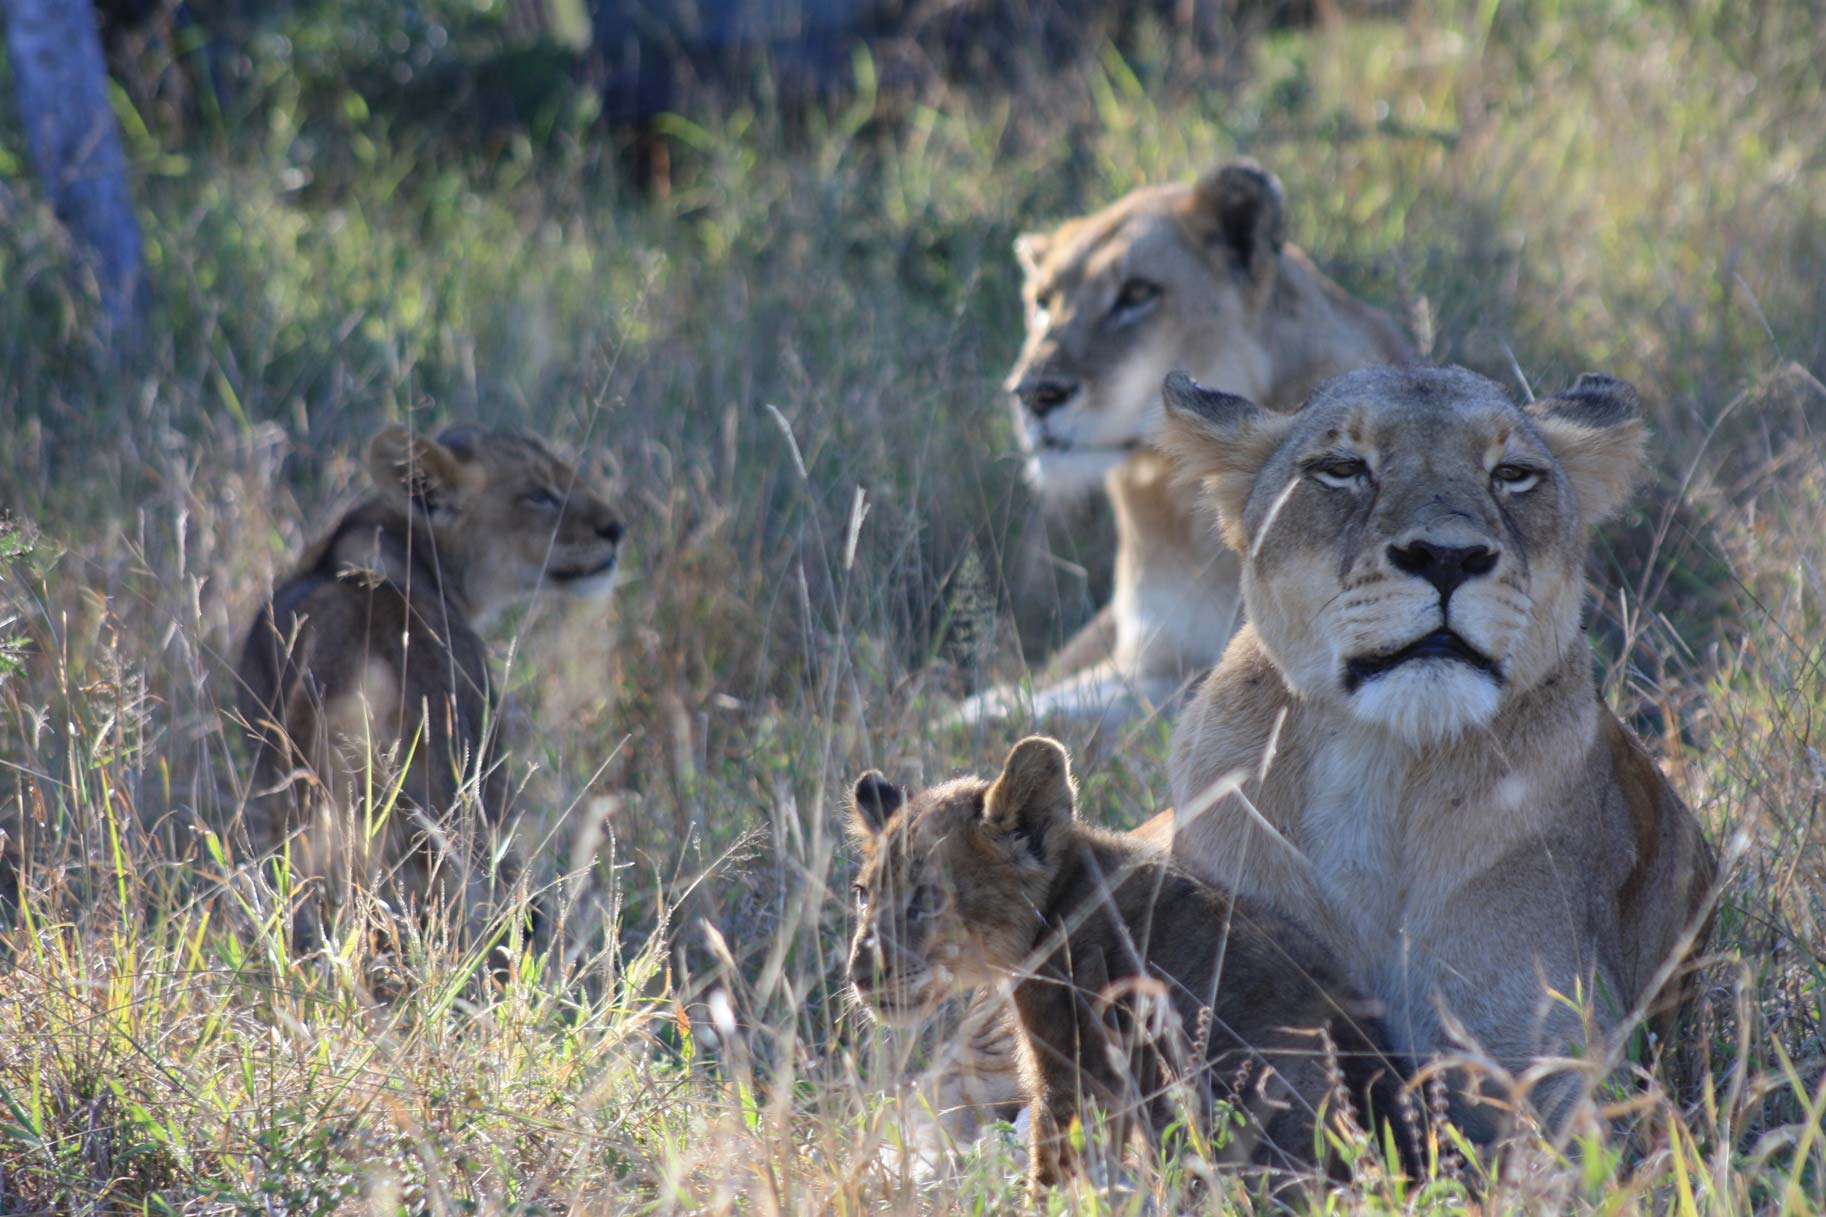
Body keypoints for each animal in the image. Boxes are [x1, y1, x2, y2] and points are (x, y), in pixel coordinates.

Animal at [964, 157, 1416, 723]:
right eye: (1043, 302)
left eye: (1137, 294)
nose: (1033, 393)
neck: (1171, 501)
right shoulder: (1146, 649)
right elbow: (1030, 698)